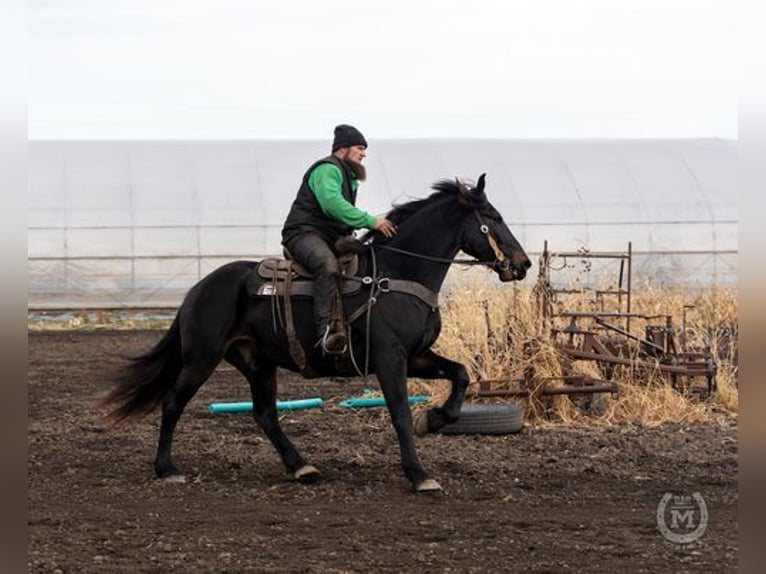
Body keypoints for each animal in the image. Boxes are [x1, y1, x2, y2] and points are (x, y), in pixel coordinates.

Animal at [103, 173, 531, 492]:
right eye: (493, 217)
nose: (523, 263)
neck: (396, 274)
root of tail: (198, 289)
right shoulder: (390, 359)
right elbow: (399, 414)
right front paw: (420, 475)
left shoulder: (416, 357)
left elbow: (461, 375)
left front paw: (436, 420)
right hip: (201, 358)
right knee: (173, 403)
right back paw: (167, 468)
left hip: (257, 362)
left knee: (265, 414)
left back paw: (301, 467)